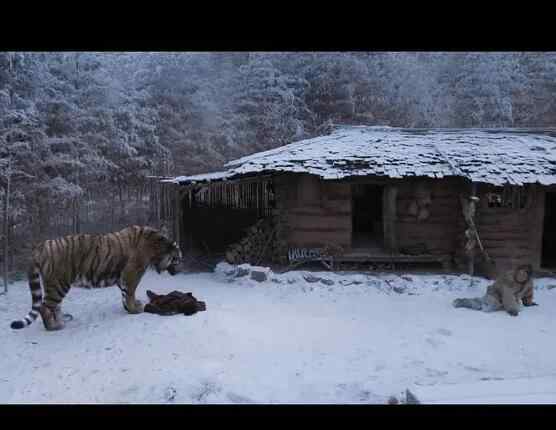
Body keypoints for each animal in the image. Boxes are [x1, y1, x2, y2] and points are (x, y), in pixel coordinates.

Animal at [9, 223, 182, 330]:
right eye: (178, 259)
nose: (181, 270)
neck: (156, 248)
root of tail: (41, 246)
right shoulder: (132, 273)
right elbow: (130, 293)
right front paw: (134, 309)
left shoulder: (122, 277)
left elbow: (124, 294)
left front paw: (128, 308)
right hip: (58, 283)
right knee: (45, 307)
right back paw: (55, 327)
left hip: (54, 285)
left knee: (54, 306)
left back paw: (61, 320)